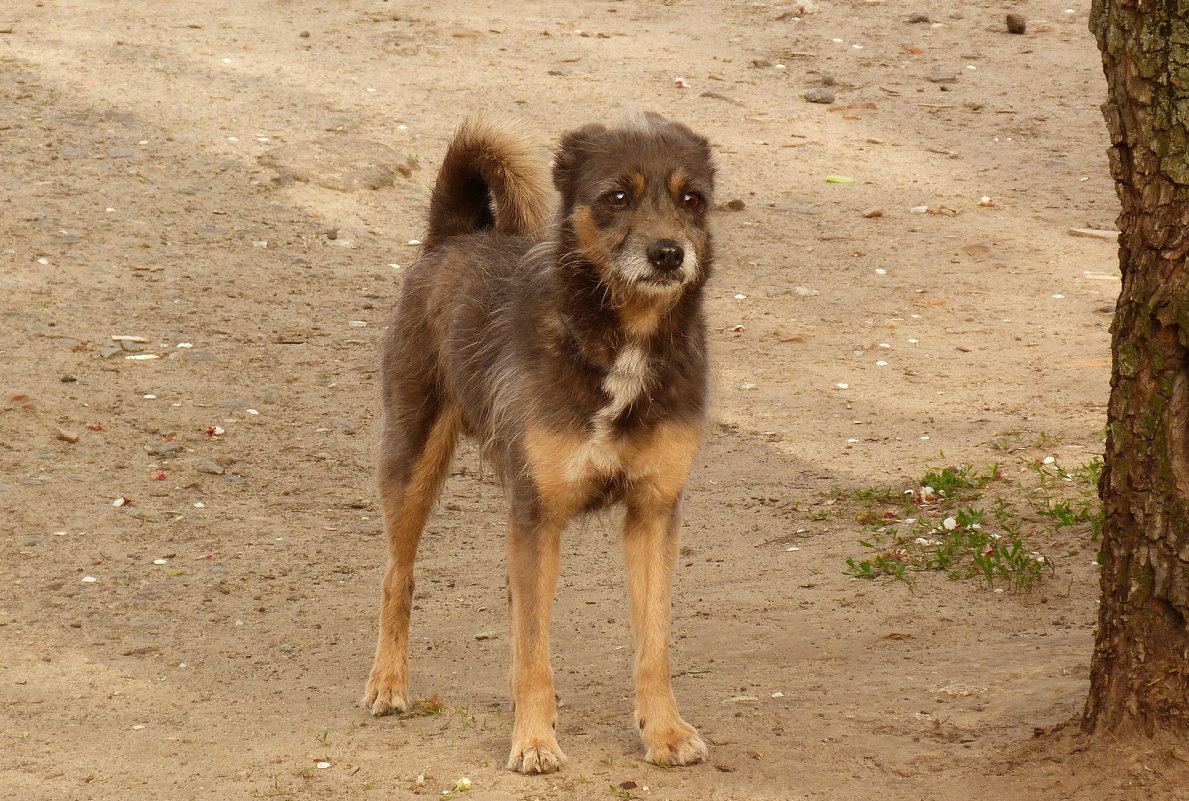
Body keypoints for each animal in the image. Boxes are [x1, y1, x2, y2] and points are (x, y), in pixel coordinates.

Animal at [361, 112, 713, 774]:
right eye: (616, 197)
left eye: (692, 199)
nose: (668, 254)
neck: (618, 340)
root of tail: (451, 239)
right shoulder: (535, 515)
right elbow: (533, 653)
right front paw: (533, 739)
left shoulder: (654, 514)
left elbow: (652, 644)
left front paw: (663, 731)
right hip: (411, 461)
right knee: (399, 577)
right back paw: (388, 682)